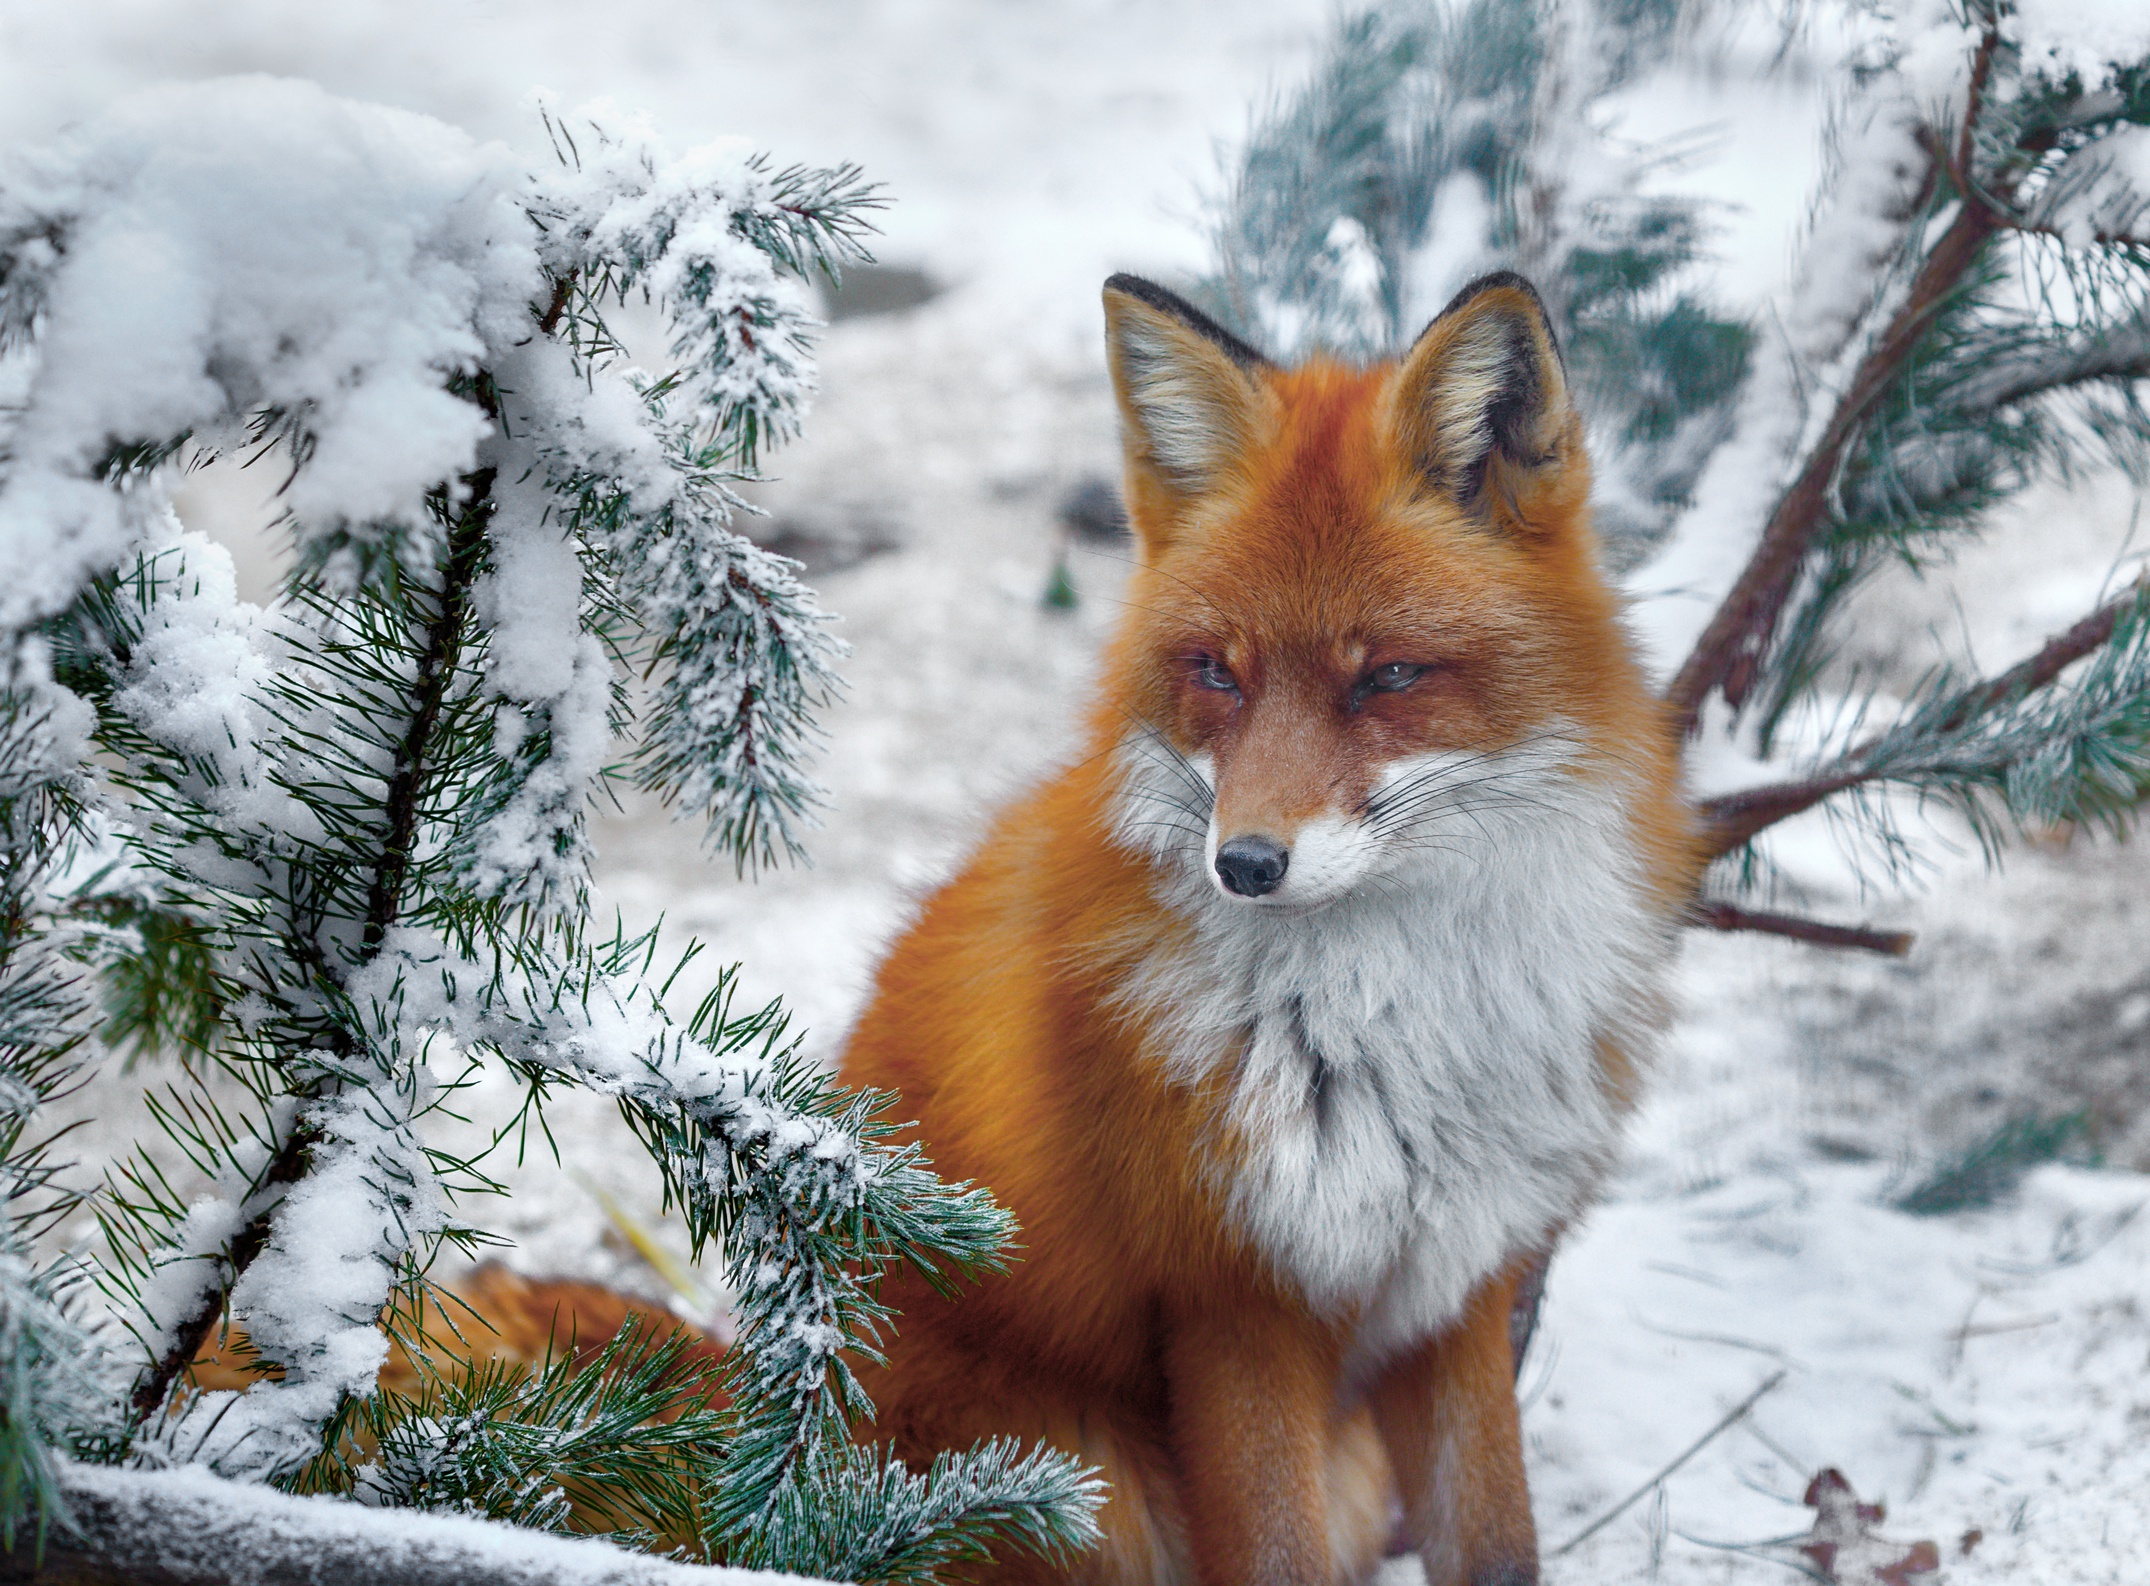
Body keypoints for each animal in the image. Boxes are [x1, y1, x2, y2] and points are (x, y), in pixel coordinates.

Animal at [837, 271, 1700, 1586]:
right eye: (1215, 671)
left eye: (1386, 676)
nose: (1243, 863)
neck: (1407, 1030)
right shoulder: (1231, 1304)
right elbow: (1271, 1552)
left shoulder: (1457, 1287)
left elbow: (1498, 1545)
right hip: (1077, 1492)